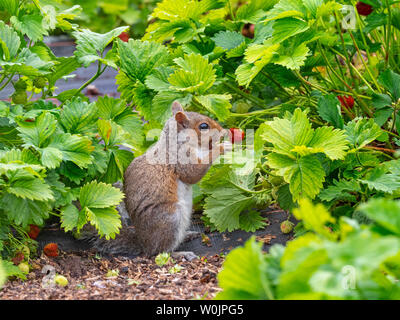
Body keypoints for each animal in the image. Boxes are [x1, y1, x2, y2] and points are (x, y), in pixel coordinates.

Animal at [84, 101, 233, 258]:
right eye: (203, 126)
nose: (223, 131)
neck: (177, 141)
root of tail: (143, 243)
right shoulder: (179, 158)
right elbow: (193, 173)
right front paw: (221, 148)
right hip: (171, 219)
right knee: (158, 252)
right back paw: (181, 254)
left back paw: (187, 235)